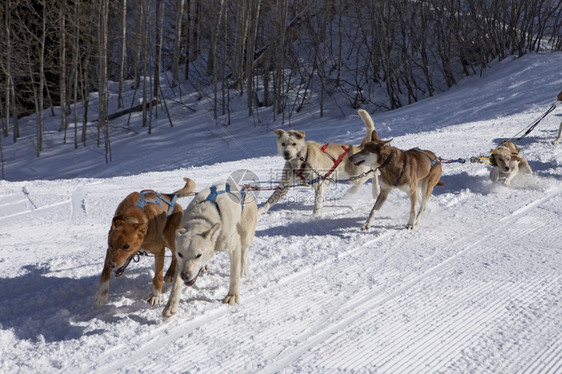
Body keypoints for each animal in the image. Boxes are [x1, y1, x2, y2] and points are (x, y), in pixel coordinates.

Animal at [94, 178, 195, 306]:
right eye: (110, 244)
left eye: (126, 246)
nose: (112, 264)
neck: (131, 218)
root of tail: (170, 197)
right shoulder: (109, 252)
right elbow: (104, 271)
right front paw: (101, 294)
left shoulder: (159, 250)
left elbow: (158, 276)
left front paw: (156, 296)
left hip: (169, 236)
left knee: (175, 254)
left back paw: (170, 273)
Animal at [163, 183, 258, 318]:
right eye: (180, 254)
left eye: (198, 255)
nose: (185, 275)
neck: (201, 219)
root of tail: (243, 187)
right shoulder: (180, 265)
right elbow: (176, 285)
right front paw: (171, 305)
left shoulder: (234, 246)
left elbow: (234, 275)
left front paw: (232, 296)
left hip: (245, 234)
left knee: (244, 251)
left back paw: (243, 271)